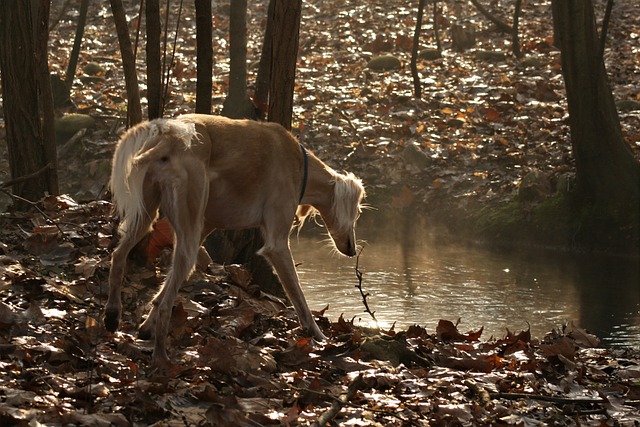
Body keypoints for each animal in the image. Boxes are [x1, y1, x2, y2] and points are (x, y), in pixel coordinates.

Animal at [104, 114, 364, 368]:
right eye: (358, 212)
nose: (352, 249)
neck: (300, 164)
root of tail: (170, 137)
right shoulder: (276, 246)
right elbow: (298, 295)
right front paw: (319, 336)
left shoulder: (208, 226)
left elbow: (159, 294)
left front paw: (145, 327)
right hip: (188, 222)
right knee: (169, 298)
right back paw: (161, 358)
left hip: (149, 214)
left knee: (119, 256)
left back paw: (112, 315)